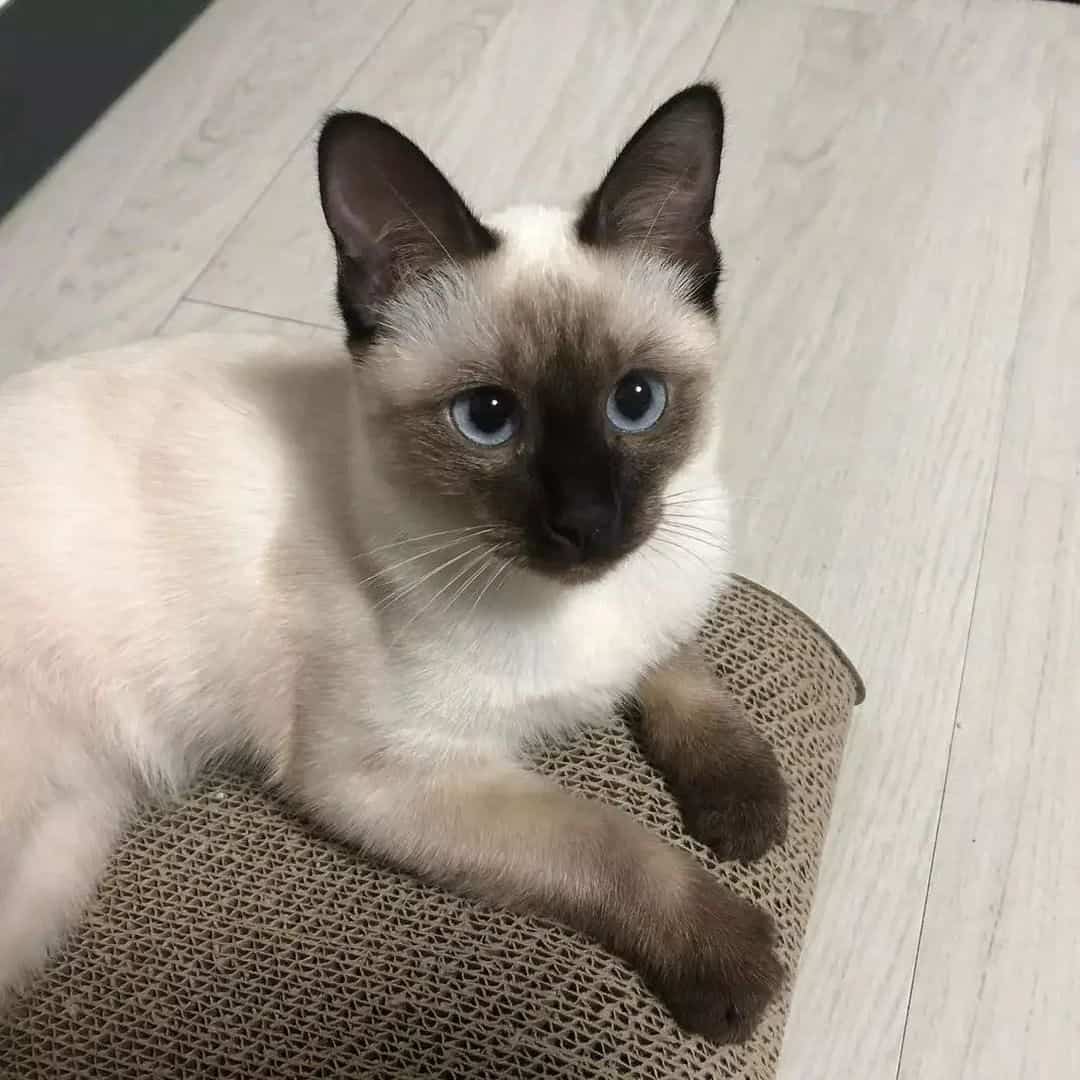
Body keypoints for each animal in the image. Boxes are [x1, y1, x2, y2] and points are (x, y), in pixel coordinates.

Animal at [0, 86, 786, 1045]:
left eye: (635, 402)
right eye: (488, 417)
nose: (586, 525)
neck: (578, 610)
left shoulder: (660, 588)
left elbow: (682, 670)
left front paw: (748, 814)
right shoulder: (386, 776)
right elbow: (610, 843)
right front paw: (735, 962)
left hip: (57, 853)